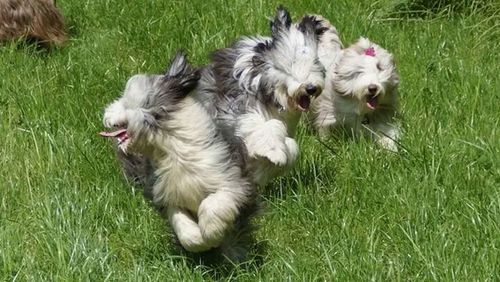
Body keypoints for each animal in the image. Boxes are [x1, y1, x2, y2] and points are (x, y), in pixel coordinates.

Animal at [100, 51, 258, 262]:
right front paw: (199, 241)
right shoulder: (169, 196)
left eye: (124, 102)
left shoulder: (232, 182)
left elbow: (212, 204)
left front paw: (212, 233)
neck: (172, 150)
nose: (105, 114)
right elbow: (182, 226)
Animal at [197, 6, 330, 185]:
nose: (311, 88)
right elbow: (265, 125)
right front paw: (275, 153)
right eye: (292, 62)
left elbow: (290, 145)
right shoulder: (237, 111)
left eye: (315, 62)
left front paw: (266, 166)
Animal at [310, 16, 400, 151]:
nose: (372, 88)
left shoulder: (382, 114)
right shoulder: (328, 111)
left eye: (379, 67)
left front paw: (391, 148)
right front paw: (327, 144)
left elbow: (385, 132)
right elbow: (325, 128)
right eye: (359, 71)